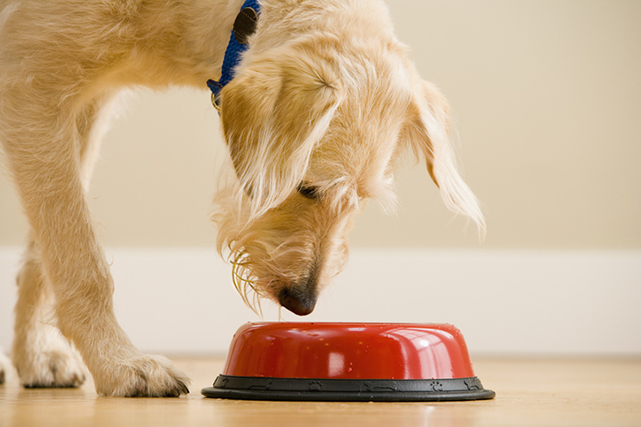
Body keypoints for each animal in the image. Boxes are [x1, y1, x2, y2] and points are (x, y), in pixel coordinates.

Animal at [0, 0, 480, 398]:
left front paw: (35, 356)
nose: (302, 303)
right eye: (306, 186)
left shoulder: (82, 105)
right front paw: (119, 364)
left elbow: (45, 251)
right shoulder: (32, 84)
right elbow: (80, 255)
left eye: (360, 200)